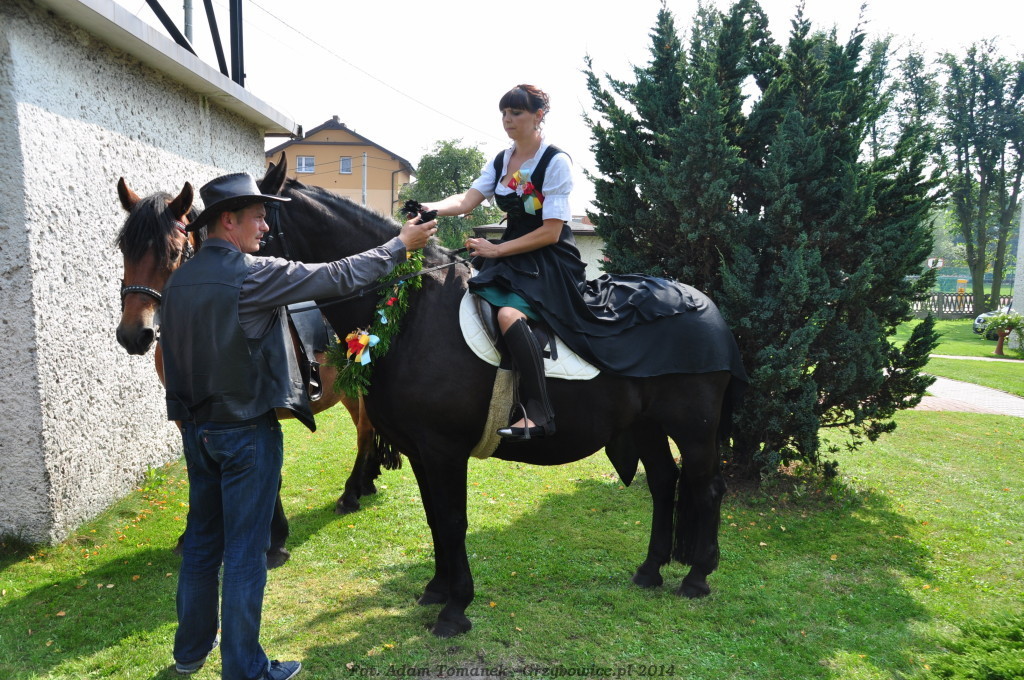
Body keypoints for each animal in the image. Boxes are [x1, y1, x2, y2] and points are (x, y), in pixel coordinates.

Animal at [258, 155, 743, 637]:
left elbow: (453, 521)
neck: (411, 310)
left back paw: (698, 576)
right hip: (646, 425)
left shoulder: (444, 451)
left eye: (258, 221)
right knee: (663, 482)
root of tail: (706, 308)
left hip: (694, 429)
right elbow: (434, 517)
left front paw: (456, 608)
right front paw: (437, 589)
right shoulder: (420, 451)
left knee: (708, 488)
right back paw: (650, 570)